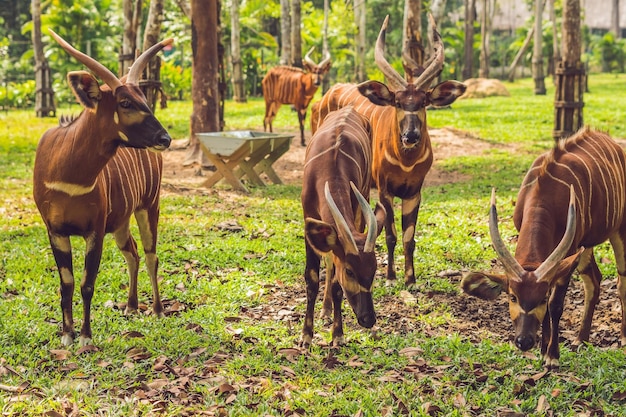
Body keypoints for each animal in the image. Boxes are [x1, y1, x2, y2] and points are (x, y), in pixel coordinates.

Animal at [33, 30, 172, 346]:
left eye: (144, 99)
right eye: (125, 103)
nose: (165, 138)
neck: (67, 172)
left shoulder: (94, 230)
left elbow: (87, 283)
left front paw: (85, 337)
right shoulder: (55, 230)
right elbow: (67, 283)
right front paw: (67, 335)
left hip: (149, 205)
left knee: (151, 255)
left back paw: (157, 310)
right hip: (120, 222)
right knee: (132, 251)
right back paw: (131, 307)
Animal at [302, 105, 386, 346]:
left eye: (374, 269)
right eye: (350, 271)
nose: (368, 319)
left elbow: (337, 286)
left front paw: (338, 335)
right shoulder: (307, 216)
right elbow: (313, 278)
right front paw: (306, 336)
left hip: (364, 195)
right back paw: (325, 310)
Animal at [310, 14, 464, 284]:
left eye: (423, 102)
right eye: (398, 102)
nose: (411, 136)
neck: (406, 161)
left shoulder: (414, 192)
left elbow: (409, 238)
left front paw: (410, 279)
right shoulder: (385, 189)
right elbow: (391, 236)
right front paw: (392, 276)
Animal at [458, 127, 626, 368]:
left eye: (542, 298)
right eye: (512, 297)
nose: (524, 341)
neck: (546, 194)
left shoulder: (568, 254)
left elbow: (556, 306)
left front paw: (552, 355)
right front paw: (543, 349)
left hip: (618, 230)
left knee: (621, 280)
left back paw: (622, 338)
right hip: (585, 246)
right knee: (594, 279)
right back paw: (580, 340)